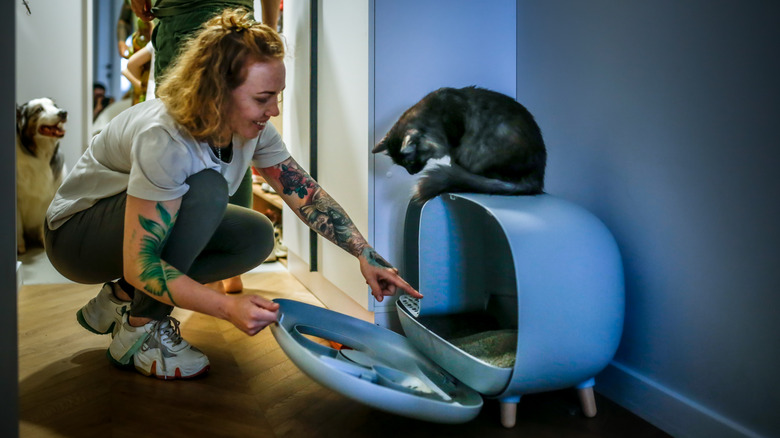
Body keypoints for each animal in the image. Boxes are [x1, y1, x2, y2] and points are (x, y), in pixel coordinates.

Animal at [16, 96, 67, 253]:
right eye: (39, 109)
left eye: (55, 106)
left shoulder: (49, 197)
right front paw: (20, 247)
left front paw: (45, 243)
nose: (63, 112)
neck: (41, 156)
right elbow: (18, 226)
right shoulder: (18, 200)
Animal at [374, 86, 544, 204]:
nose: (411, 173)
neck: (434, 119)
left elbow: (454, 160)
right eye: (401, 165)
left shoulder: (456, 142)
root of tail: (538, 178)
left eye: (408, 162)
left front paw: (454, 169)